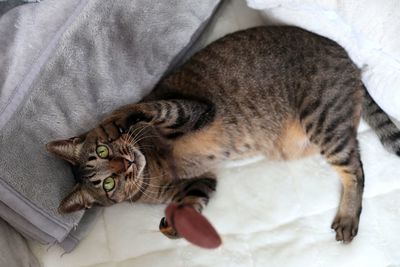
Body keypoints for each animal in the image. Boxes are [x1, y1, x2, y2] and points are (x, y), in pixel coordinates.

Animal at [47, 25, 400, 245]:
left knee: (356, 169)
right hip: (310, 136)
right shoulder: (202, 180)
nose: (126, 164)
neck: (154, 169)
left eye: (103, 151)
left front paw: (116, 120)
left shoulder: (189, 110)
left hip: (321, 119)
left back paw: (348, 216)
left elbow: (141, 108)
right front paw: (172, 226)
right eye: (108, 184)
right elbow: (188, 205)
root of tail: (346, 57)